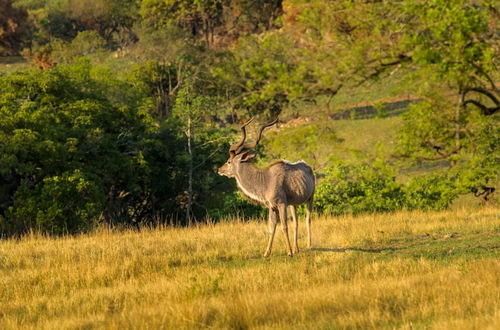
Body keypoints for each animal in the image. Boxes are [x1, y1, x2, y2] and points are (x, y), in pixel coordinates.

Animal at [217, 117, 314, 256]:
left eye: (229, 161)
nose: (219, 170)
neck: (266, 180)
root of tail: (308, 166)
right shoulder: (272, 207)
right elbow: (271, 227)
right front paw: (267, 253)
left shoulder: (281, 204)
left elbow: (284, 226)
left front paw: (289, 252)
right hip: (293, 204)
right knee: (296, 222)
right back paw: (297, 248)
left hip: (310, 199)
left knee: (308, 219)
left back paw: (309, 246)